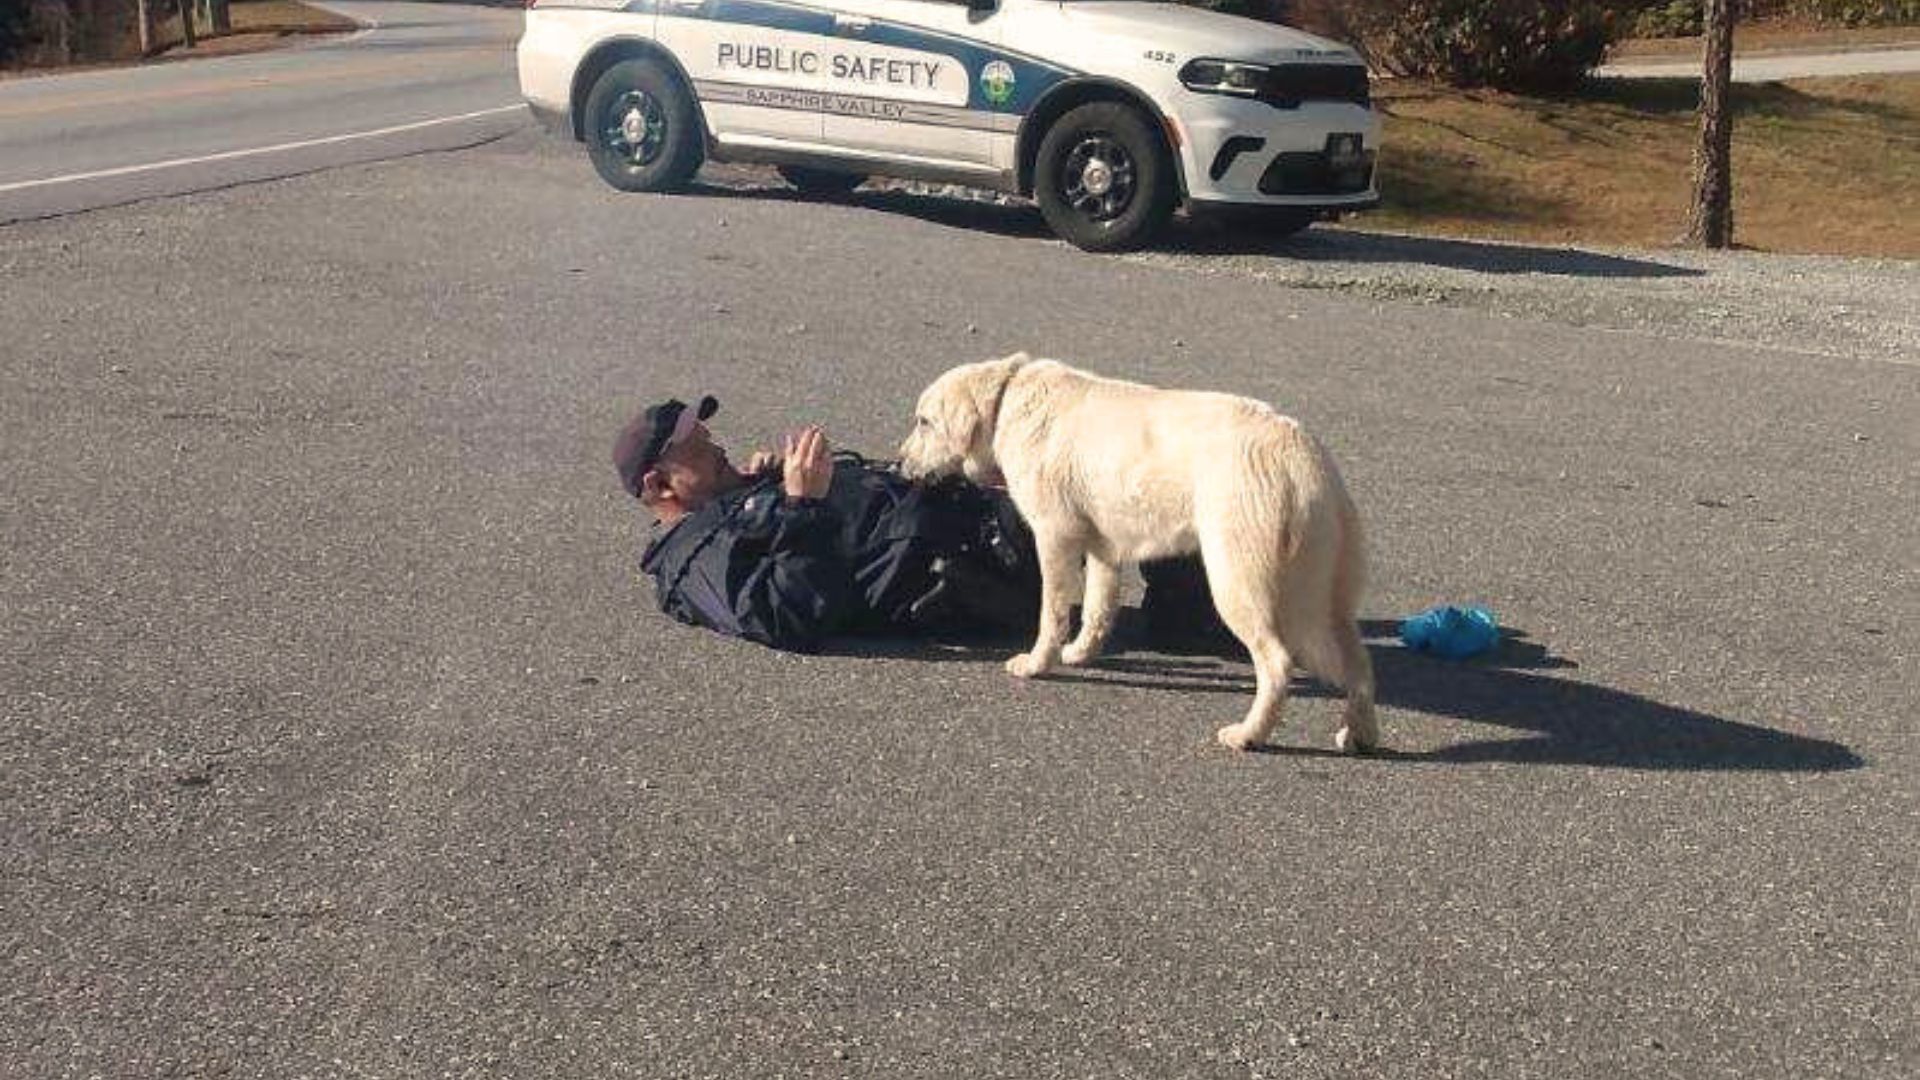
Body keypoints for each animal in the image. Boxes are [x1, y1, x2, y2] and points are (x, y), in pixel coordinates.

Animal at [898, 353, 1382, 749]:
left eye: (924, 422)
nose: (900, 464)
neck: (1008, 402)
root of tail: (1303, 456)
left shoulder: (1055, 539)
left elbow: (1051, 614)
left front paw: (1038, 663)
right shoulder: (1104, 550)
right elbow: (1097, 611)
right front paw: (1079, 653)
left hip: (1237, 583)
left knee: (1278, 664)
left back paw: (1249, 735)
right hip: (1328, 597)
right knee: (1359, 665)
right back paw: (1359, 733)